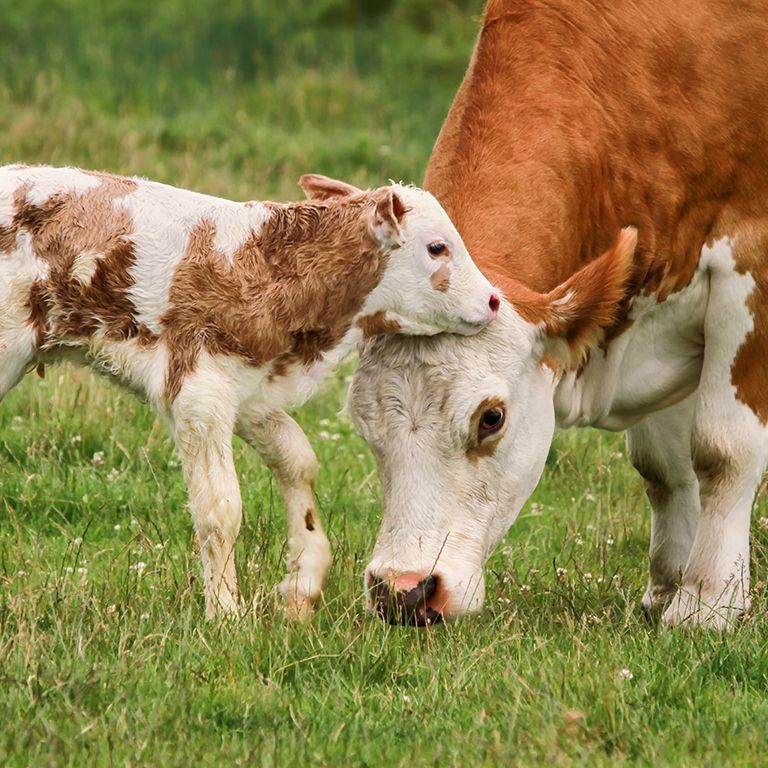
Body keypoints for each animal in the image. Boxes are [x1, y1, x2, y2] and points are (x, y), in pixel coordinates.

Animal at [0, 166, 500, 616]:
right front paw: (225, 615)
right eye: (437, 247)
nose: (494, 299)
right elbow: (219, 509)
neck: (268, 268)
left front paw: (303, 582)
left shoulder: (250, 389)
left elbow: (297, 459)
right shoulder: (200, 392)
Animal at [344, 0, 768, 628]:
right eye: (362, 421)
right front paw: (667, 589)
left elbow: (722, 450)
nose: (404, 591)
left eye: (490, 418)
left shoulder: (748, 266)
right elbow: (666, 465)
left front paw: (705, 604)